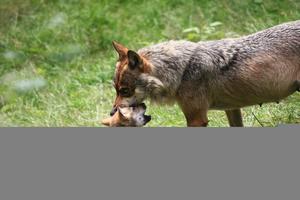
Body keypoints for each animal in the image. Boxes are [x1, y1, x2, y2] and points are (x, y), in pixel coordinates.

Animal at [109, 20, 298, 126]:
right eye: (116, 90)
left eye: (124, 91)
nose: (112, 113)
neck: (181, 70)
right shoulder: (232, 109)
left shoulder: (196, 118)